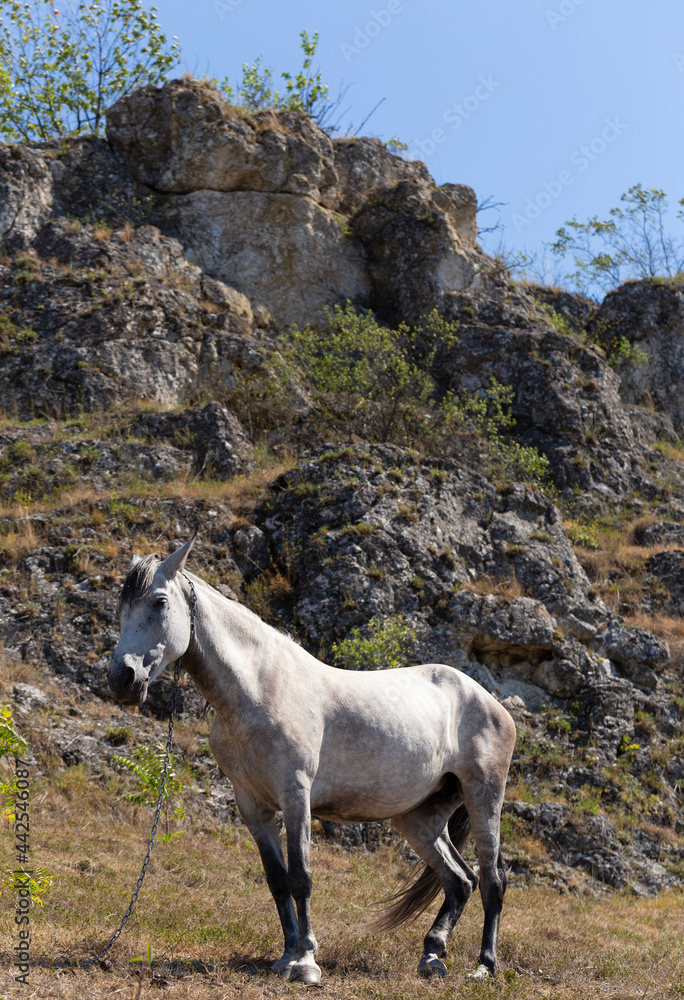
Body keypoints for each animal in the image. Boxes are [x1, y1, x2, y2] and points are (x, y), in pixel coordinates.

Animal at [108, 535, 516, 984]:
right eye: (121, 607)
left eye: (160, 602)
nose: (122, 679)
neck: (260, 688)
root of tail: (489, 700)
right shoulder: (252, 806)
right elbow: (277, 880)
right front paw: (287, 955)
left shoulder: (295, 794)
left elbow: (301, 876)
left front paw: (305, 962)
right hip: (419, 818)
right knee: (460, 881)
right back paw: (432, 956)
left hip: (483, 797)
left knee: (492, 880)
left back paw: (484, 966)